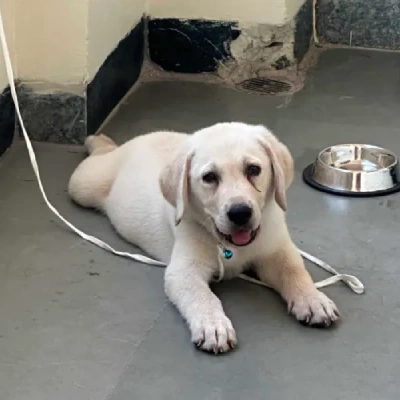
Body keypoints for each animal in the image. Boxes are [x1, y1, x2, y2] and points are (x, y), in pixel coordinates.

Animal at [68, 122, 338, 354]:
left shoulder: (277, 249)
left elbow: (295, 271)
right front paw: (213, 326)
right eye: (209, 177)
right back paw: (97, 140)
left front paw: (313, 299)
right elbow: (203, 296)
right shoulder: (183, 270)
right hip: (84, 185)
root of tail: (132, 142)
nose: (240, 213)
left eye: (253, 170)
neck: (229, 245)